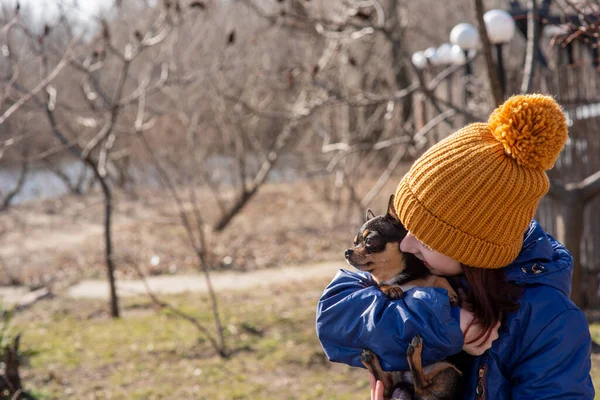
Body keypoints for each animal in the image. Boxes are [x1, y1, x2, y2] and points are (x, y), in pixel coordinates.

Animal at [344, 195, 462, 400]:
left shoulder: (428, 276)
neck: (400, 278)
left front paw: (452, 294)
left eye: (370, 241)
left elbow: (439, 278)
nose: (348, 252)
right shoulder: (378, 282)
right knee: (394, 385)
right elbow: (379, 284)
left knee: (417, 384)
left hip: (448, 370)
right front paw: (391, 289)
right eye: (355, 242)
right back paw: (376, 358)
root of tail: (406, 385)